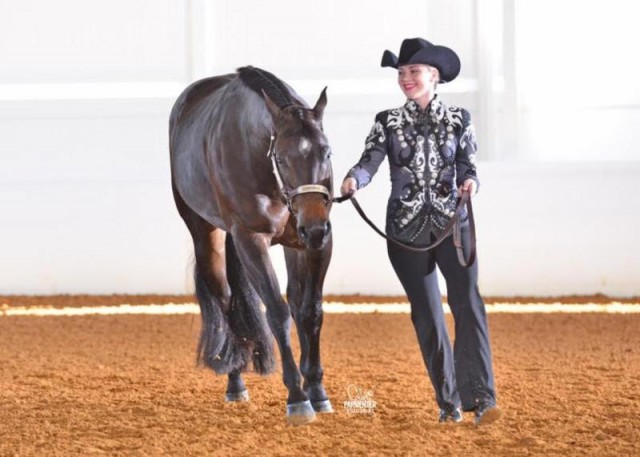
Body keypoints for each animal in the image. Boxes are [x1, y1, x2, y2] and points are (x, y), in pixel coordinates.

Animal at [168, 67, 338, 424]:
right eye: (282, 159)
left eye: (327, 152)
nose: (315, 226)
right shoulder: (251, 239)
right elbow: (276, 312)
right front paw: (297, 397)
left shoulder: (313, 244)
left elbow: (310, 311)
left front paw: (316, 389)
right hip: (207, 235)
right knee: (225, 301)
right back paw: (235, 383)